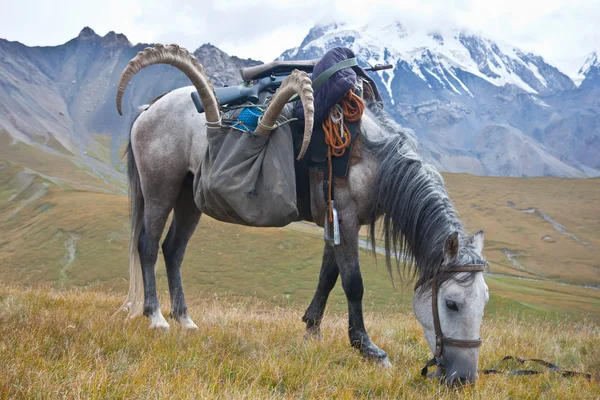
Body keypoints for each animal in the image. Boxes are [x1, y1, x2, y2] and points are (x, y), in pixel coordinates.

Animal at [116, 43, 488, 384]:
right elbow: (353, 283)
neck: (372, 156)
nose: (464, 378)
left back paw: (185, 320)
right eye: (452, 303)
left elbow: (328, 276)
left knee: (173, 250)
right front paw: (368, 348)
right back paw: (156, 318)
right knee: (148, 246)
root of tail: (147, 109)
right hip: (160, 190)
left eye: (484, 301)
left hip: (189, 199)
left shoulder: (335, 220)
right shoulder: (345, 217)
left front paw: (312, 331)